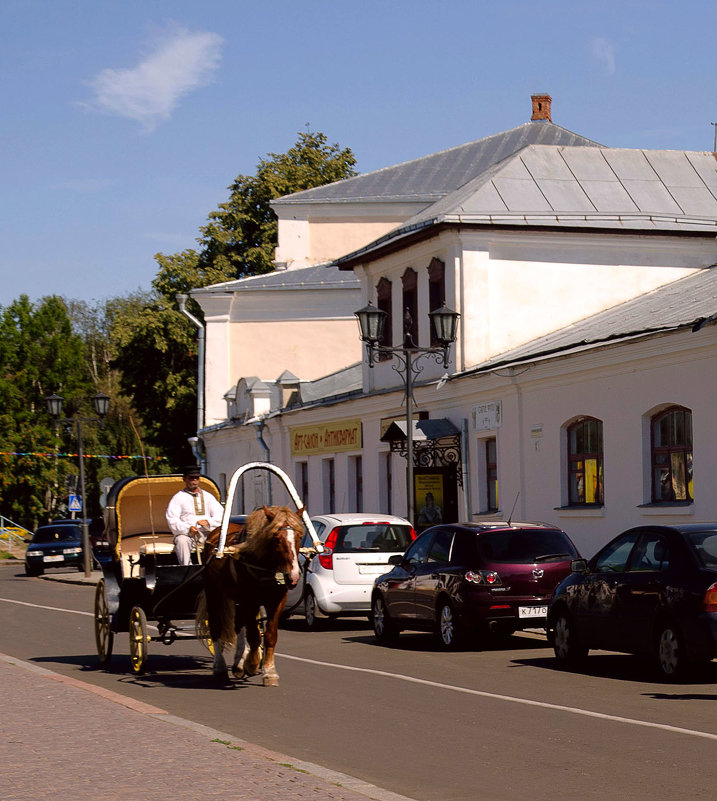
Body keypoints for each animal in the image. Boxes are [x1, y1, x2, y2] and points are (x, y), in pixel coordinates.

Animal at [199, 504, 302, 684]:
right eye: (276, 538)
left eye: (299, 536)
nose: (293, 576)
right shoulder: (249, 600)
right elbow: (254, 636)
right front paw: (252, 664)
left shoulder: (277, 600)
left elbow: (270, 635)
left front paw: (269, 671)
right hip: (214, 592)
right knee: (216, 626)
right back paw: (220, 667)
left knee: (238, 625)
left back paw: (239, 662)